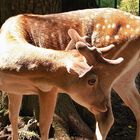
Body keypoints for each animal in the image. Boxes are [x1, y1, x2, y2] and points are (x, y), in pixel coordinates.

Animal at [0, 8, 124, 140]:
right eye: (92, 80)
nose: (104, 106)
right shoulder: (15, 90)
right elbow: (13, 117)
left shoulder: (50, 90)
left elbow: (44, 125)